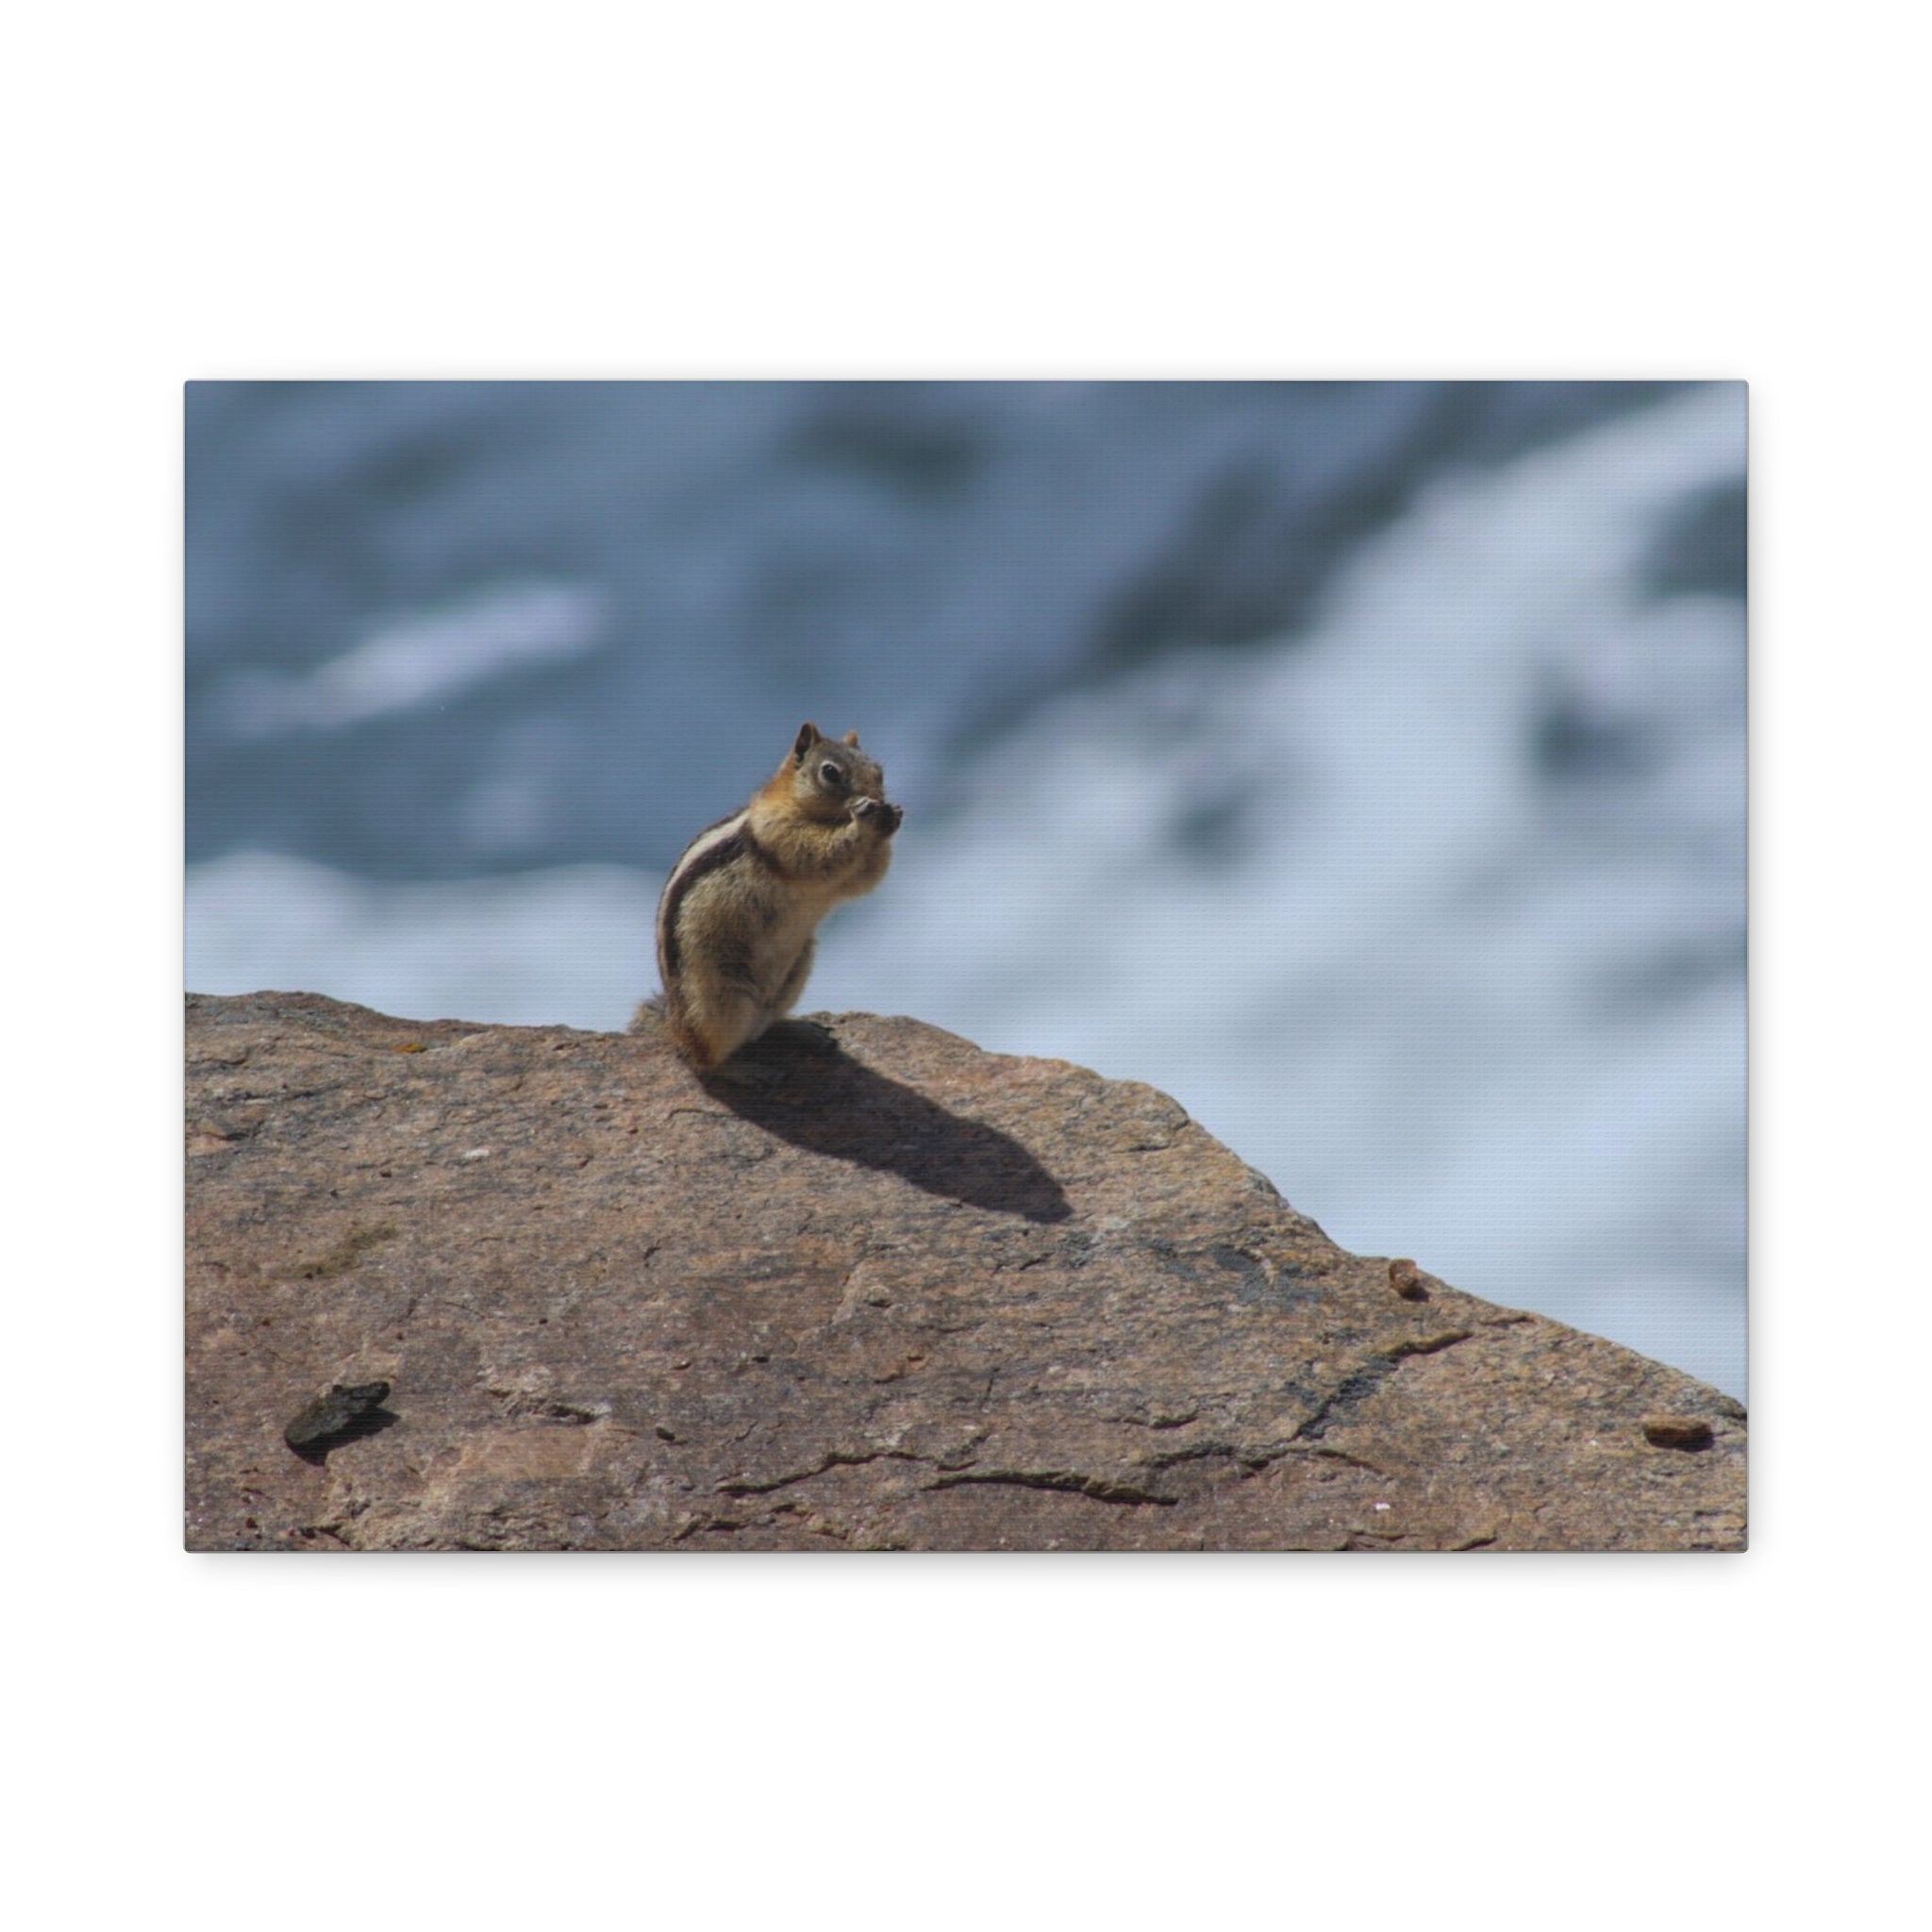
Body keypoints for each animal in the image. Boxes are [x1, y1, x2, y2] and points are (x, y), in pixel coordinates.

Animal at [638, 721, 902, 1073]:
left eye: (878, 771)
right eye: (830, 773)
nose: (877, 798)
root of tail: (673, 1025)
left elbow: (865, 878)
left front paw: (892, 817)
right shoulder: (780, 832)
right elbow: (820, 854)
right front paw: (865, 820)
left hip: (794, 976)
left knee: (763, 1027)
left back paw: (801, 1031)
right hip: (721, 1000)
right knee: (703, 1057)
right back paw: (744, 1070)